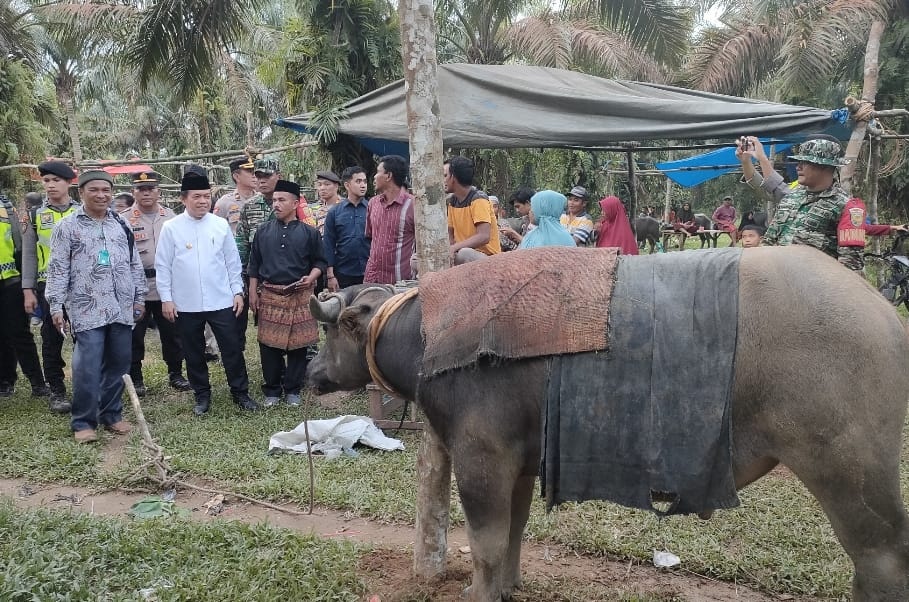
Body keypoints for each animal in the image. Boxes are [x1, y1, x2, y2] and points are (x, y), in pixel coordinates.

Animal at [306, 245, 908, 600]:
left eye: (329, 329)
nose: (311, 370)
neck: (429, 333)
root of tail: (884, 315)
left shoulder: (482, 459)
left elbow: (485, 543)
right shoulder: (519, 463)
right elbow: (515, 532)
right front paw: (509, 587)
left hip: (847, 473)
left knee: (881, 559)